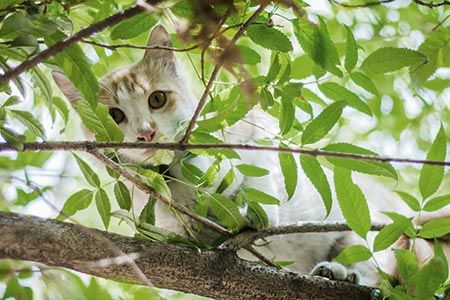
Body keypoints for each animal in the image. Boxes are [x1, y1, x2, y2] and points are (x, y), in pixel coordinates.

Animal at [52, 24, 446, 288]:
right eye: (115, 116)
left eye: (157, 99)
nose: (146, 133)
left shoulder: (254, 130)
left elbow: (257, 169)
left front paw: (255, 210)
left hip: (363, 233)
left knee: (370, 267)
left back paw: (341, 272)